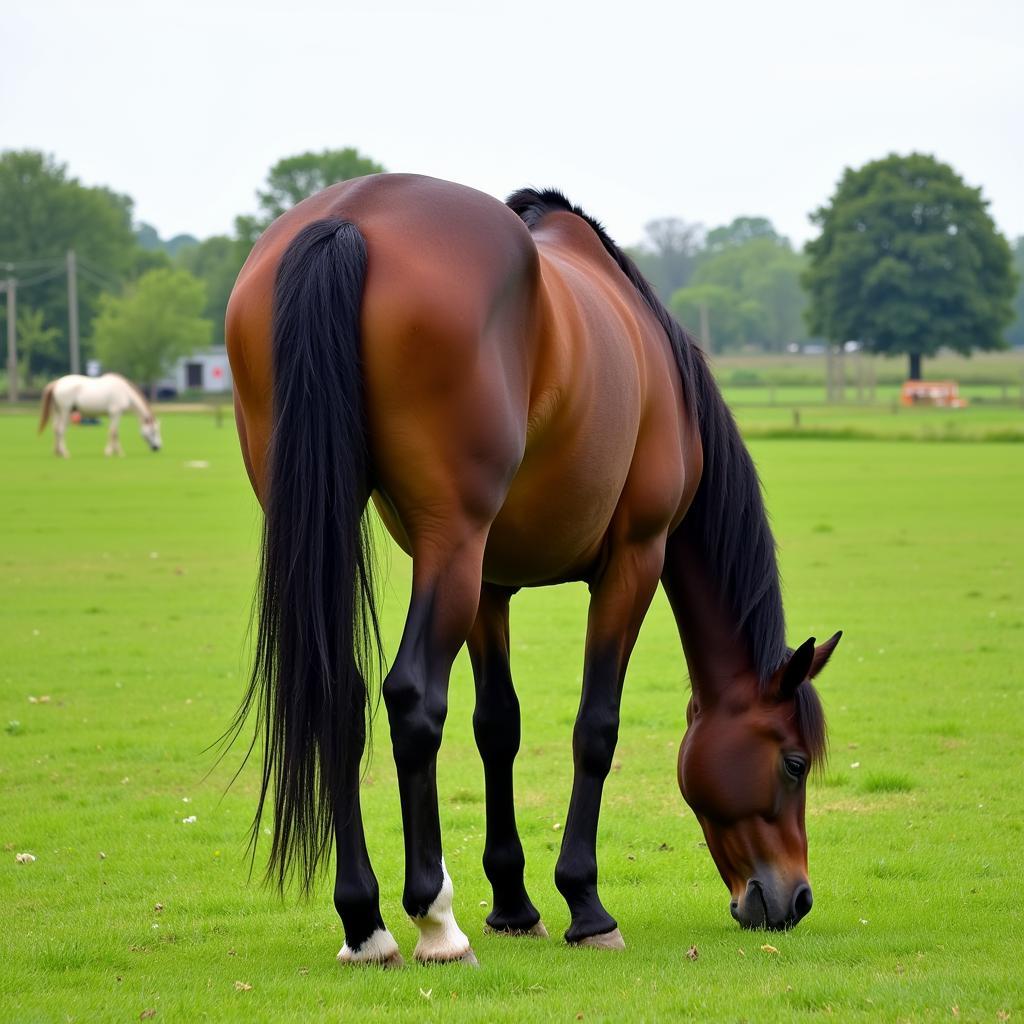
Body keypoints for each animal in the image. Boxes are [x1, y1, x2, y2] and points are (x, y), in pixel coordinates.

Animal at [226, 176, 839, 966]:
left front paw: (515, 904)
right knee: (412, 697)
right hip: (452, 543)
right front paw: (586, 906)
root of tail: (350, 218)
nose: (795, 899)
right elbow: (595, 728)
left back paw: (365, 925)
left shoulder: (491, 583)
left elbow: (498, 726)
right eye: (792, 763)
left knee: (342, 694)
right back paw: (435, 922)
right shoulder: (634, 559)